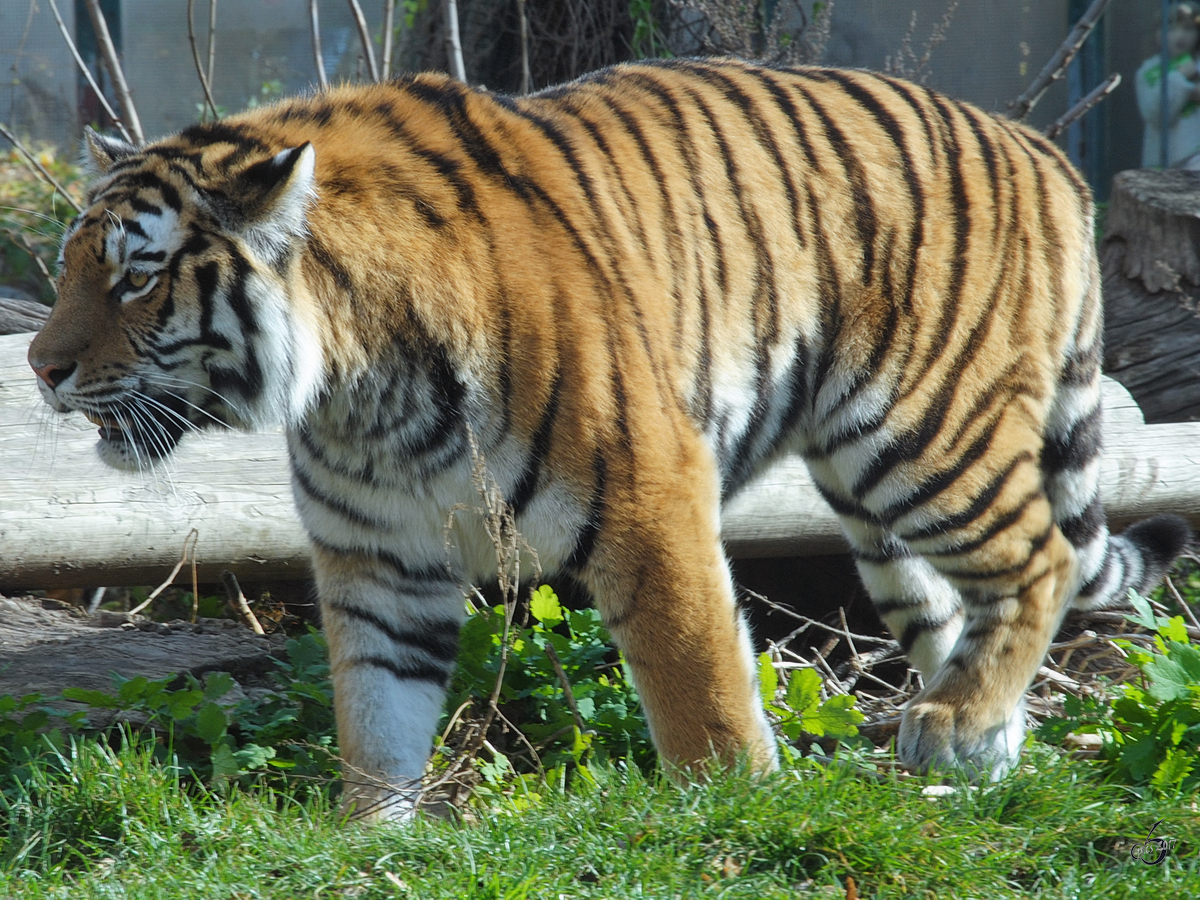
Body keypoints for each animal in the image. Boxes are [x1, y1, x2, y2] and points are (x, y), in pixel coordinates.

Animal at [25, 54, 1190, 816]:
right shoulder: (377, 557)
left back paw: (957, 727)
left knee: (1040, 558)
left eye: (134, 277)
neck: (358, 388)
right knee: (962, 604)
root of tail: (1042, 148)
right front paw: (372, 841)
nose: (40, 367)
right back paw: (972, 752)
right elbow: (376, 716)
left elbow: (697, 677)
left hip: (925, 432)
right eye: (71, 263)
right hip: (873, 504)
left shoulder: (651, 495)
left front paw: (736, 811)